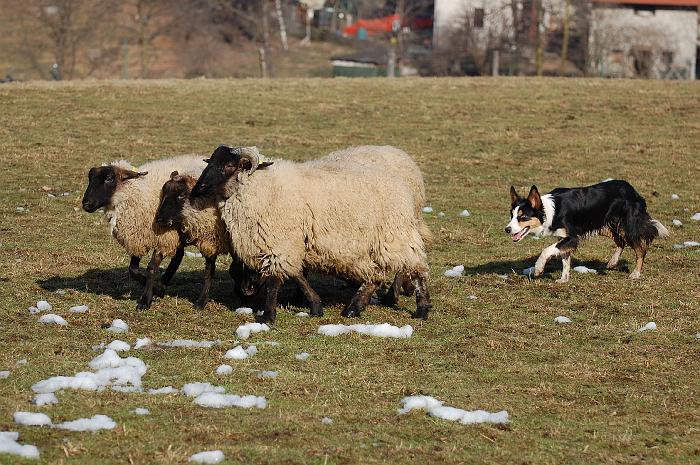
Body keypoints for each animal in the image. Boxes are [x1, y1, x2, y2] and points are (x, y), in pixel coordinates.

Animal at [82, 154, 205, 310]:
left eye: (109, 179)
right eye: (90, 179)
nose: (86, 204)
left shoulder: (164, 237)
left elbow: (151, 268)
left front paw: (147, 299)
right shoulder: (138, 236)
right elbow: (133, 269)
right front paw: (157, 288)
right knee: (178, 256)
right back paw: (164, 282)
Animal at [191, 145, 432, 322]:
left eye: (229, 164)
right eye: (210, 162)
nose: (196, 191)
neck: (260, 186)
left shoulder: (280, 242)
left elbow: (275, 280)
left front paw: (268, 316)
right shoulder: (290, 244)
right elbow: (297, 274)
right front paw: (312, 304)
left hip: (394, 236)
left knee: (417, 268)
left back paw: (421, 309)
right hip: (368, 247)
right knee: (375, 275)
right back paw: (353, 308)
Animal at [504, 180, 668, 282]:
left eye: (523, 217)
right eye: (512, 216)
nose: (507, 229)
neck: (551, 211)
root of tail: (631, 189)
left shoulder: (572, 237)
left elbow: (547, 250)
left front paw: (538, 268)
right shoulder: (563, 238)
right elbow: (565, 258)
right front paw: (564, 279)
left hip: (628, 226)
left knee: (640, 250)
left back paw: (635, 273)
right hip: (604, 225)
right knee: (620, 242)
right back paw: (613, 262)